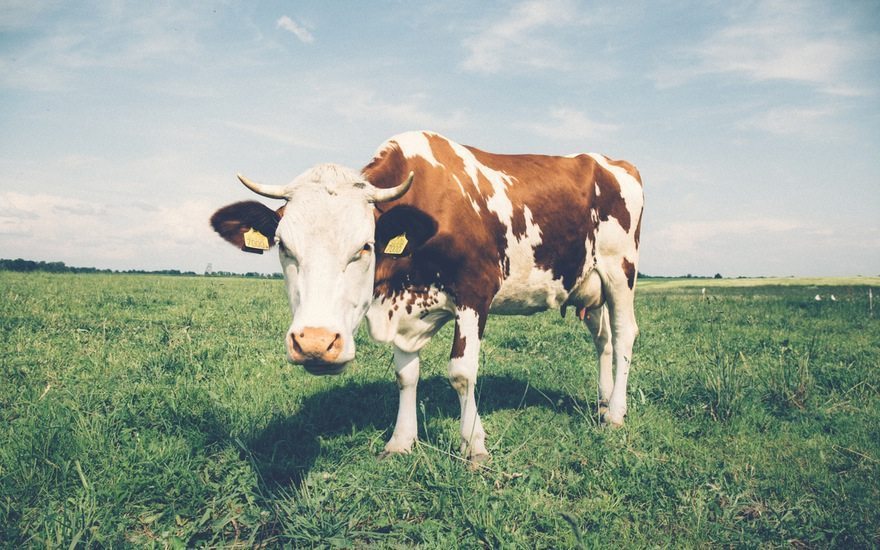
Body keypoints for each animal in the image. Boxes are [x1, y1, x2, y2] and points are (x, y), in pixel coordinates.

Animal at [211, 131, 644, 463]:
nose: (316, 343)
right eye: (283, 247)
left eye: (365, 246)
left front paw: (474, 446)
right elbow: (406, 375)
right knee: (603, 339)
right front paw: (401, 441)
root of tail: (611, 161)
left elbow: (462, 373)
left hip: (620, 270)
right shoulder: (399, 310)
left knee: (624, 335)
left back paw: (616, 413)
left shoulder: (475, 293)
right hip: (589, 285)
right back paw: (603, 401)